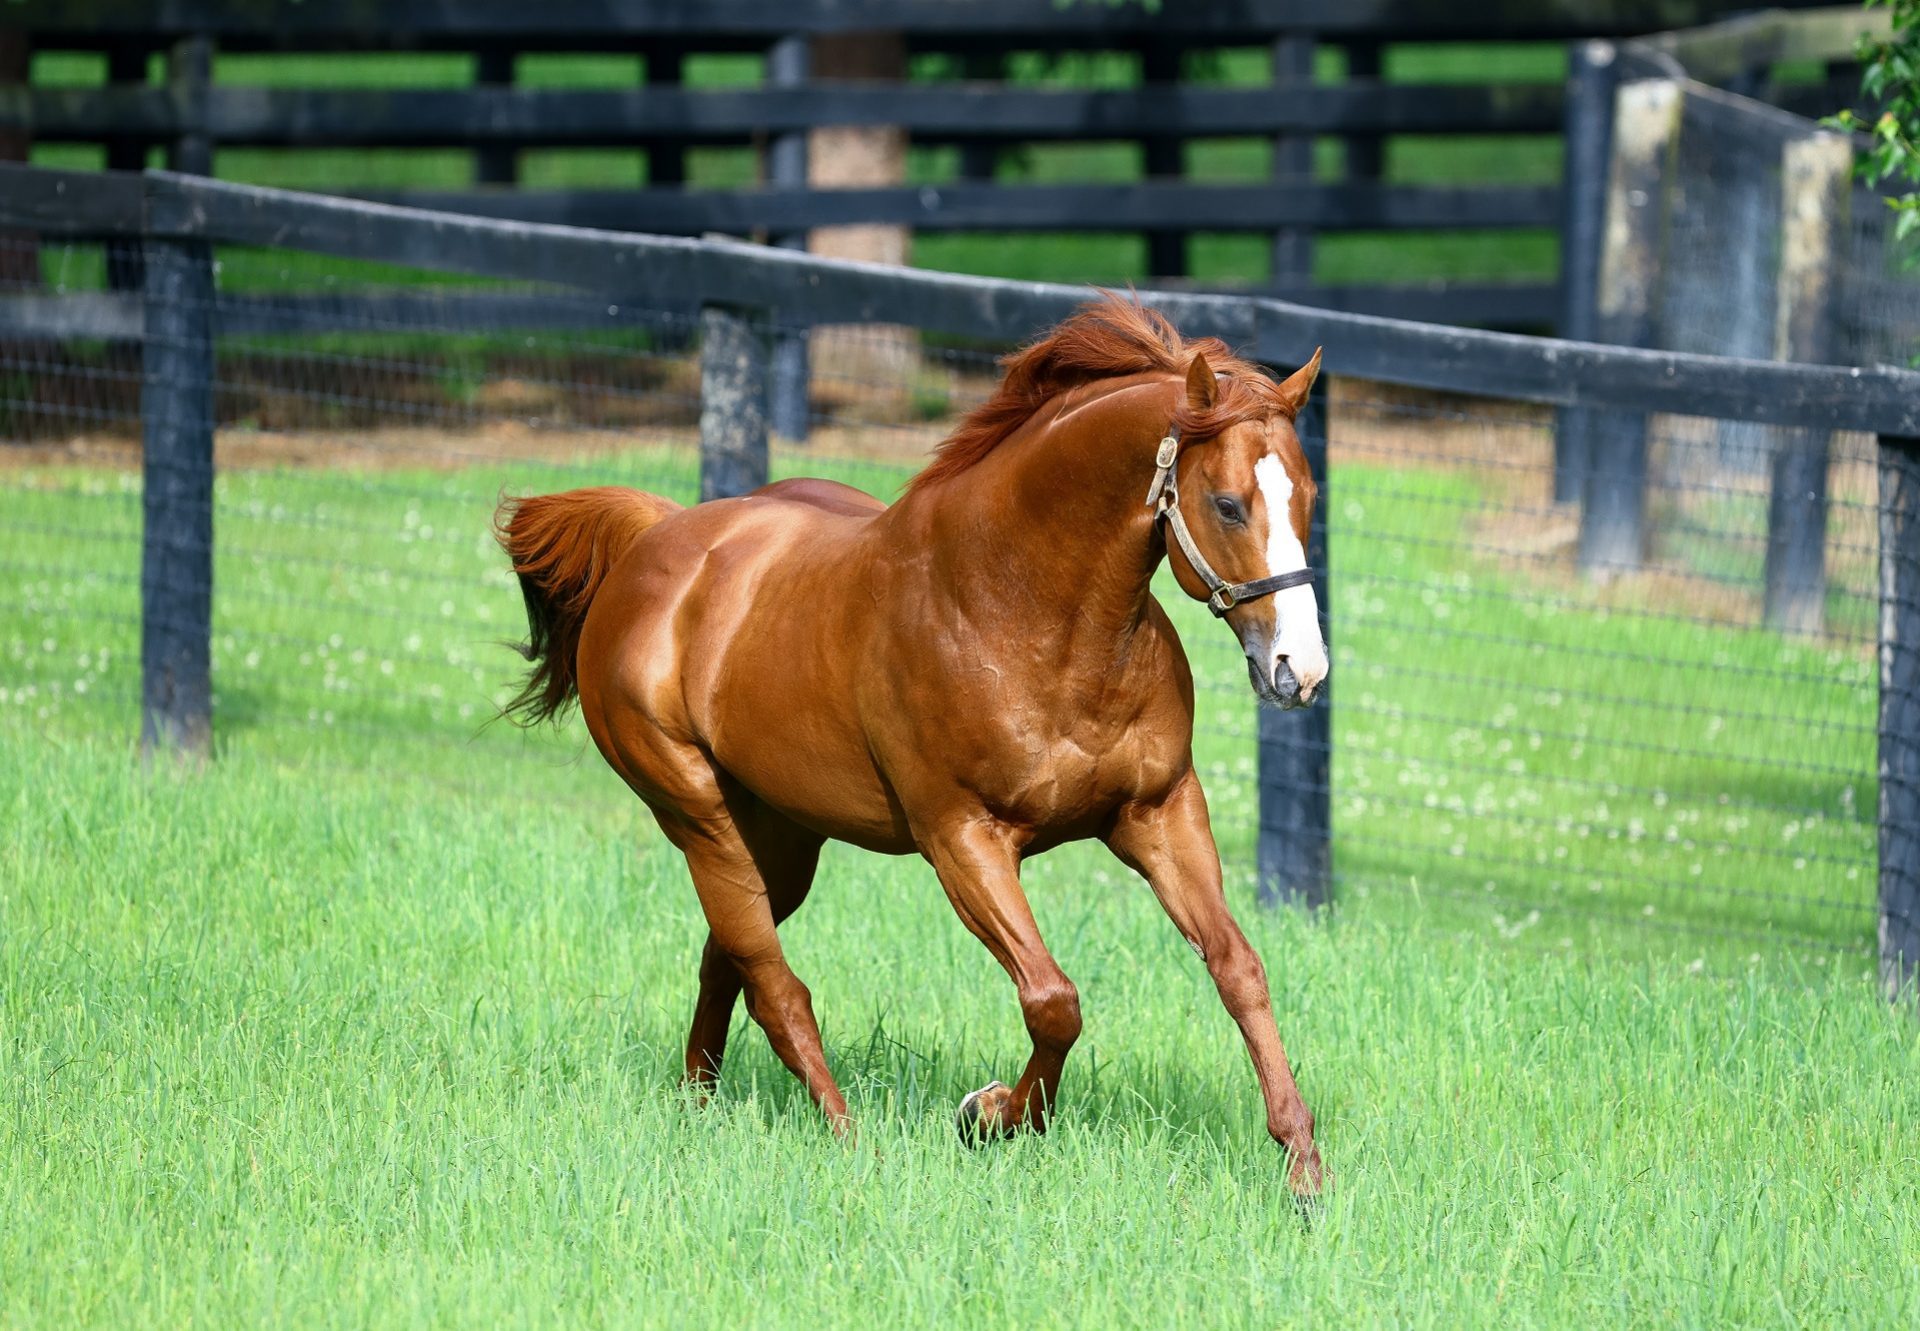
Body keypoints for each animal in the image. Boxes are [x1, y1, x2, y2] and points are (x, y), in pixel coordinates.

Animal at [503, 295, 1328, 1190]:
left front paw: (1303, 1165)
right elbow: (1053, 1000)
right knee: (775, 984)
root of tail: (658, 540)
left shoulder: (1158, 811)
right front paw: (990, 1114)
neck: (1022, 606)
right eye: (1228, 504)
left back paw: (698, 1105)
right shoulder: (961, 837)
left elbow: (1238, 966)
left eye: (1310, 496)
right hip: (698, 816)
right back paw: (846, 1138)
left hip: (781, 839)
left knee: (727, 958)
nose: (1300, 667)